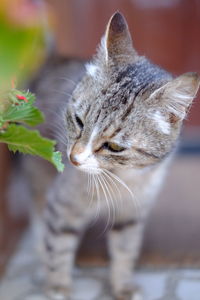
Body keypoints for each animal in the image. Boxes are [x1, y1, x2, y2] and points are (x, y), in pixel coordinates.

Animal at [24, 11, 199, 300]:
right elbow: (58, 243)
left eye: (115, 147)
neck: (121, 177)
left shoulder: (133, 212)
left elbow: (126, 250)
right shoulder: (63, 204)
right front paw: (58, 285)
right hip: (38, 171)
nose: (74, 158)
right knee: (39, 213)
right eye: (79, 121)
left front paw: (123, 285)